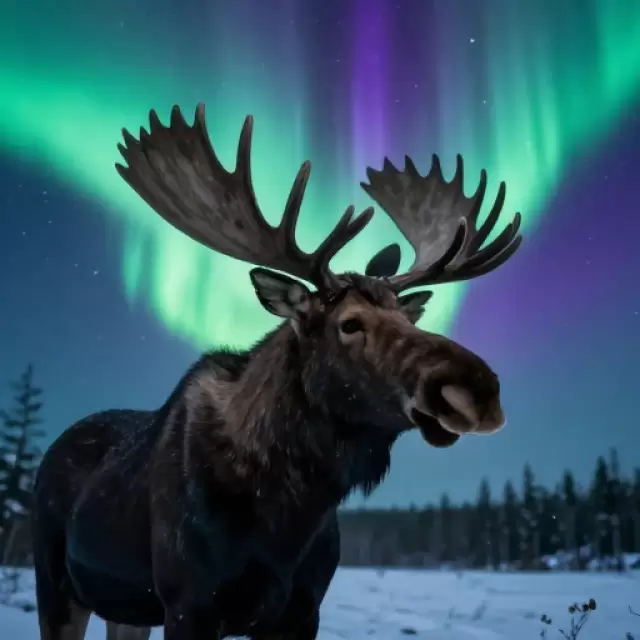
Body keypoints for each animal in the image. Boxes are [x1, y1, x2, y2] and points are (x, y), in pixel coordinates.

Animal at [31, 103, 522, 640]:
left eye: (408, 317)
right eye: (350, 323)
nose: (478, 388)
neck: (289, 514)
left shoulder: (303, 609)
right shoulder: (188, 604)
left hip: (127, 608)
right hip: (56, 586)